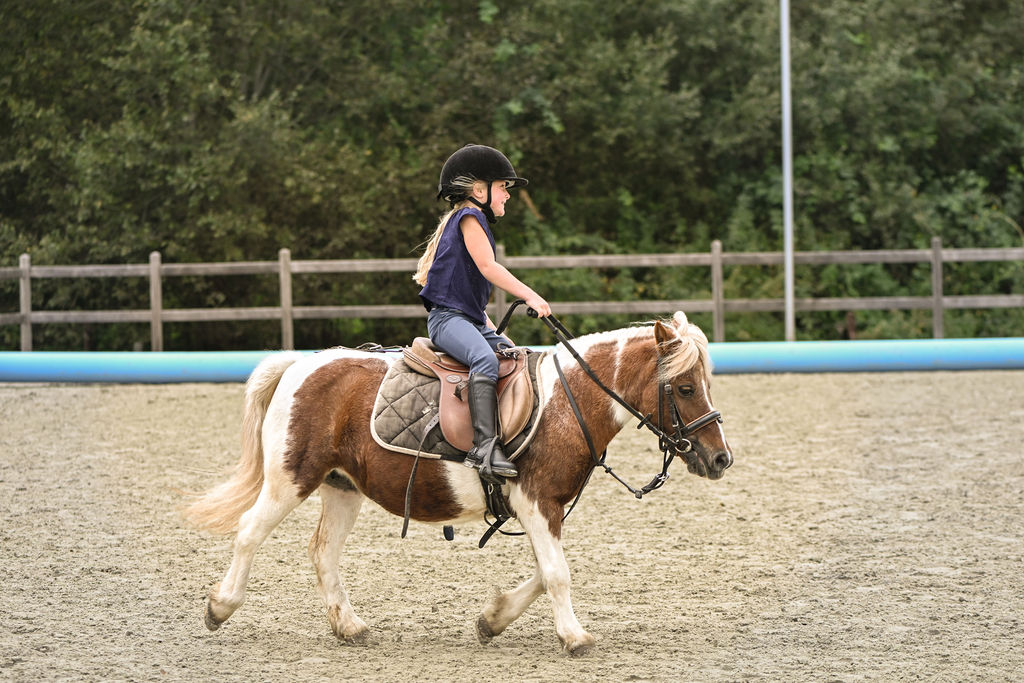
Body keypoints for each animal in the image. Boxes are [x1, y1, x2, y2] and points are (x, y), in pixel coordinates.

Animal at [185, 311, 732, 655]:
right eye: (685, 387)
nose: (721, 458)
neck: (566, 401)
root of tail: (301, 363)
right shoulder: (538, 504)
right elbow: (557, 574)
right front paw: (574, 637)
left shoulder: (540, 508)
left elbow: (543, 572)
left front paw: (493, 618)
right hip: (290, 479)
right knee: (250, 531)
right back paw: (219, 607)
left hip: (342, 487)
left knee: (322, 552)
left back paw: (349, 626)